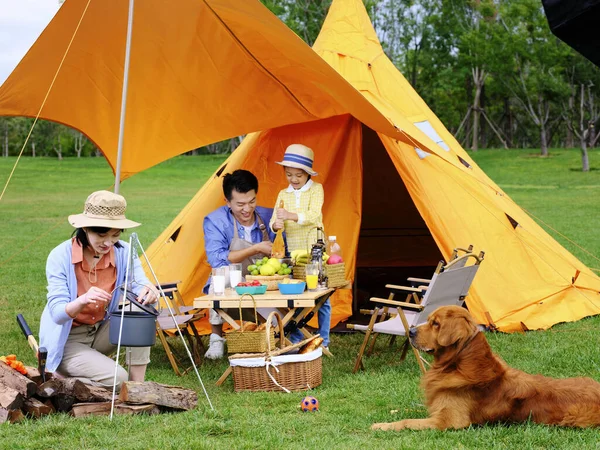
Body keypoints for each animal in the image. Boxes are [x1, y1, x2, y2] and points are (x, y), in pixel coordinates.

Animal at [370, 304, 600, 430]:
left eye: (435, 324)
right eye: (429, 321)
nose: (410, 332)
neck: (457, 364)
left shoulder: (448, 421)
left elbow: (406, 421)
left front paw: (381, 426)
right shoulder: (436, 406)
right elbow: (408, 410)